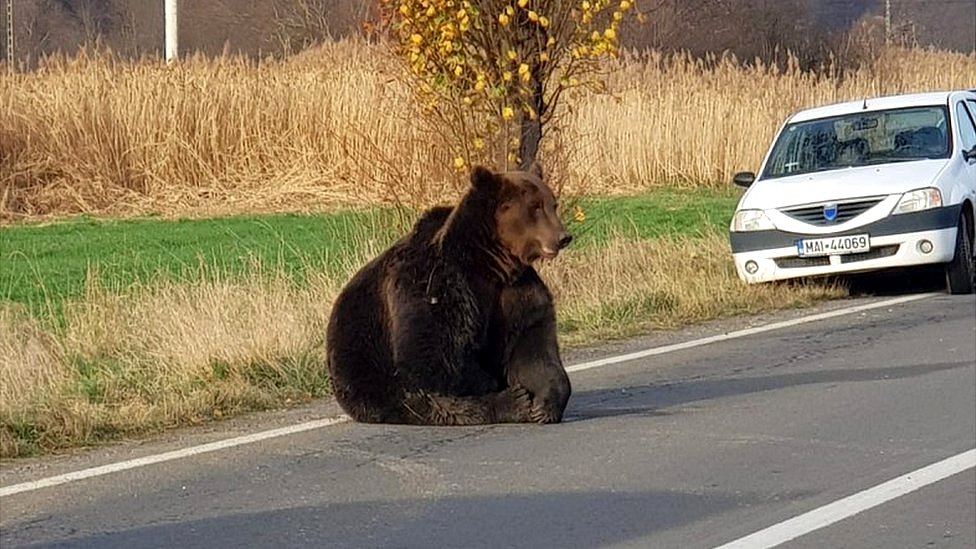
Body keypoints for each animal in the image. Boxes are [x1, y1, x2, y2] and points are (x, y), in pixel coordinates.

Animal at [328, 162, 572, 424]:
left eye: (552, 204)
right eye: (535, 207)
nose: (563, 237)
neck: (490, 264)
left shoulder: (516, 293)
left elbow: (531, 347)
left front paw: (544, 406)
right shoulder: (435, 283)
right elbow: (431, 356)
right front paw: (515, 396)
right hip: (367, 372)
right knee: (430, 401)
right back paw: (511, 402)